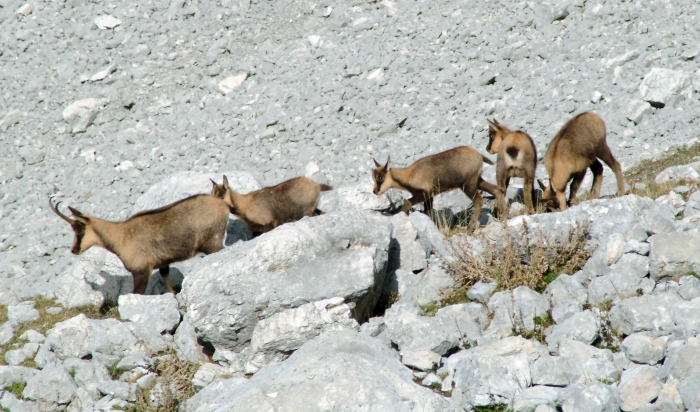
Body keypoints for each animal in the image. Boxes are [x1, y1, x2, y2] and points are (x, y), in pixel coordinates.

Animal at [50, 195, 230, 294]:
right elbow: (168, 283)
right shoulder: (162, 263)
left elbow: (138, 293)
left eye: (79, 230)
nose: (74, 250)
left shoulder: (141, 271)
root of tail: (224, 205)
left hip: (211, 242)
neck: (120, 236)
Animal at [372, 146, 504, 233]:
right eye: (373, 176)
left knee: (479, 200)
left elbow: (407, 203)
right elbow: (428, 213)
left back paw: (469, 229)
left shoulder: (423, 194)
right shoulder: (429, 197)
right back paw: (503, 216)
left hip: (468, 185)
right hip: (477, 181)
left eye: (380, 177)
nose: (374, 191)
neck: (411, 175)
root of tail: (479, 155)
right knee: (496, 190)